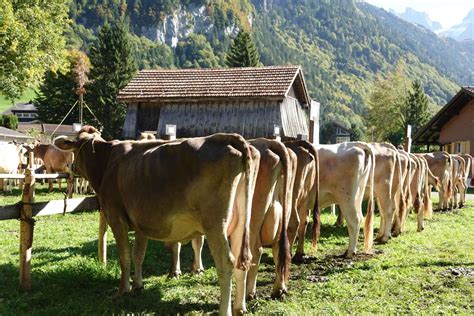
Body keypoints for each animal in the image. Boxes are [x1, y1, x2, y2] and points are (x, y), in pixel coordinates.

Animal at [54, 126, 262, 316]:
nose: (69, 168)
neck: (106, 162)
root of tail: (228, 137)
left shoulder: (116, 217)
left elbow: (125, 256)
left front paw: (123, 290)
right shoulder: (141, 223)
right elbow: (138, 254)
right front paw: (138, 285)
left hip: (215, 224)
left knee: (226, 262)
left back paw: (225, 310)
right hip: (241, 223)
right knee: (242, 261)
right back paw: (240, 306)